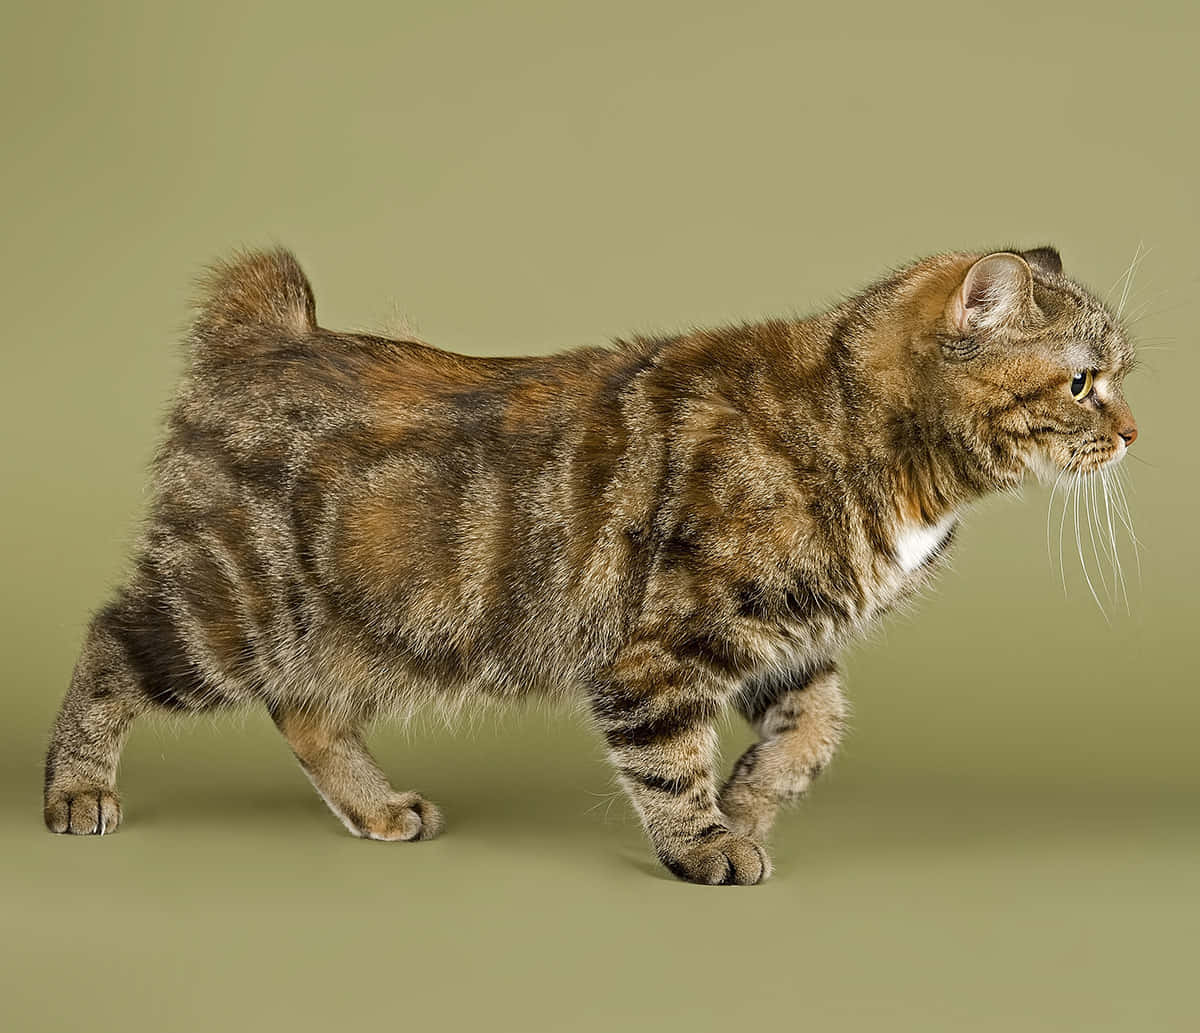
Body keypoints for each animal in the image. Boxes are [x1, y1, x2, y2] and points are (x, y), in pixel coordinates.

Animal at [44, 245, 1132, 883]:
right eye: (1084, 382)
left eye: (1118, 375)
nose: (1133, 430)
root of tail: (270, 332)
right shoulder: (662, 647)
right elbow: (668, 758)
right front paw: (706, 842)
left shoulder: (778, 633)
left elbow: (815, 725)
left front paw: (750, 797)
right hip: (232, 609)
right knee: (111, 642)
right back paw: (76, 787)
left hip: (362, 626)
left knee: (303, 708)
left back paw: (377, 806)